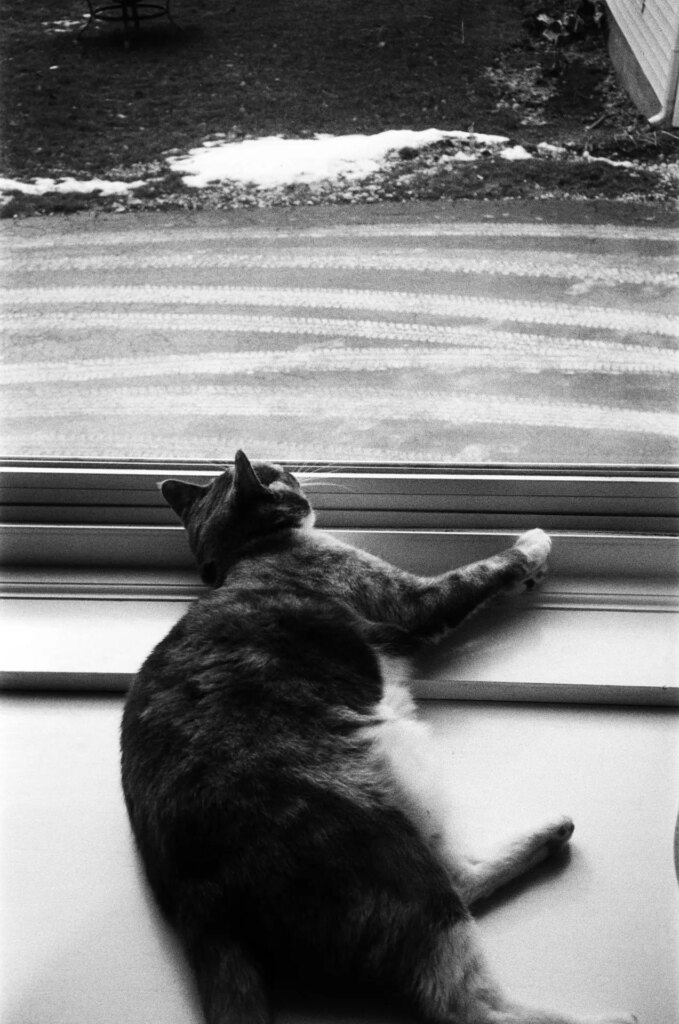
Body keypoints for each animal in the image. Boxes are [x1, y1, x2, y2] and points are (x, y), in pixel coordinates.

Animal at [120, 454, 639, 1024]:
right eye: (278, 473)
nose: (295, 469)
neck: (250, 553)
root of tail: (195, 898)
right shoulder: (412, 600)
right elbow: (482, 572)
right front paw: (534, 547)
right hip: (386, 851)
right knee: (462, 998)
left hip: (407, 817)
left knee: (460, 880)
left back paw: (550, 833)